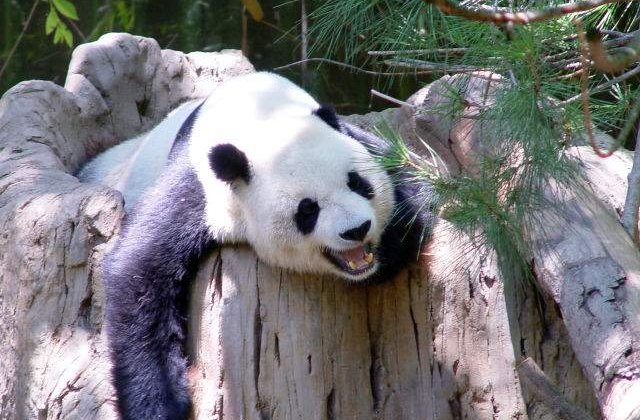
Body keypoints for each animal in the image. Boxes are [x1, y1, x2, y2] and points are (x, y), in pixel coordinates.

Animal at [87, 72, 431, 420]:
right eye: (308, 209)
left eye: (358, 183)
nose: (357, 230)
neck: (260, 115)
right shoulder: (199, 186)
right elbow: (139, 271)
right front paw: (158, 407)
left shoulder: (358, 138)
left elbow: (413, 189)